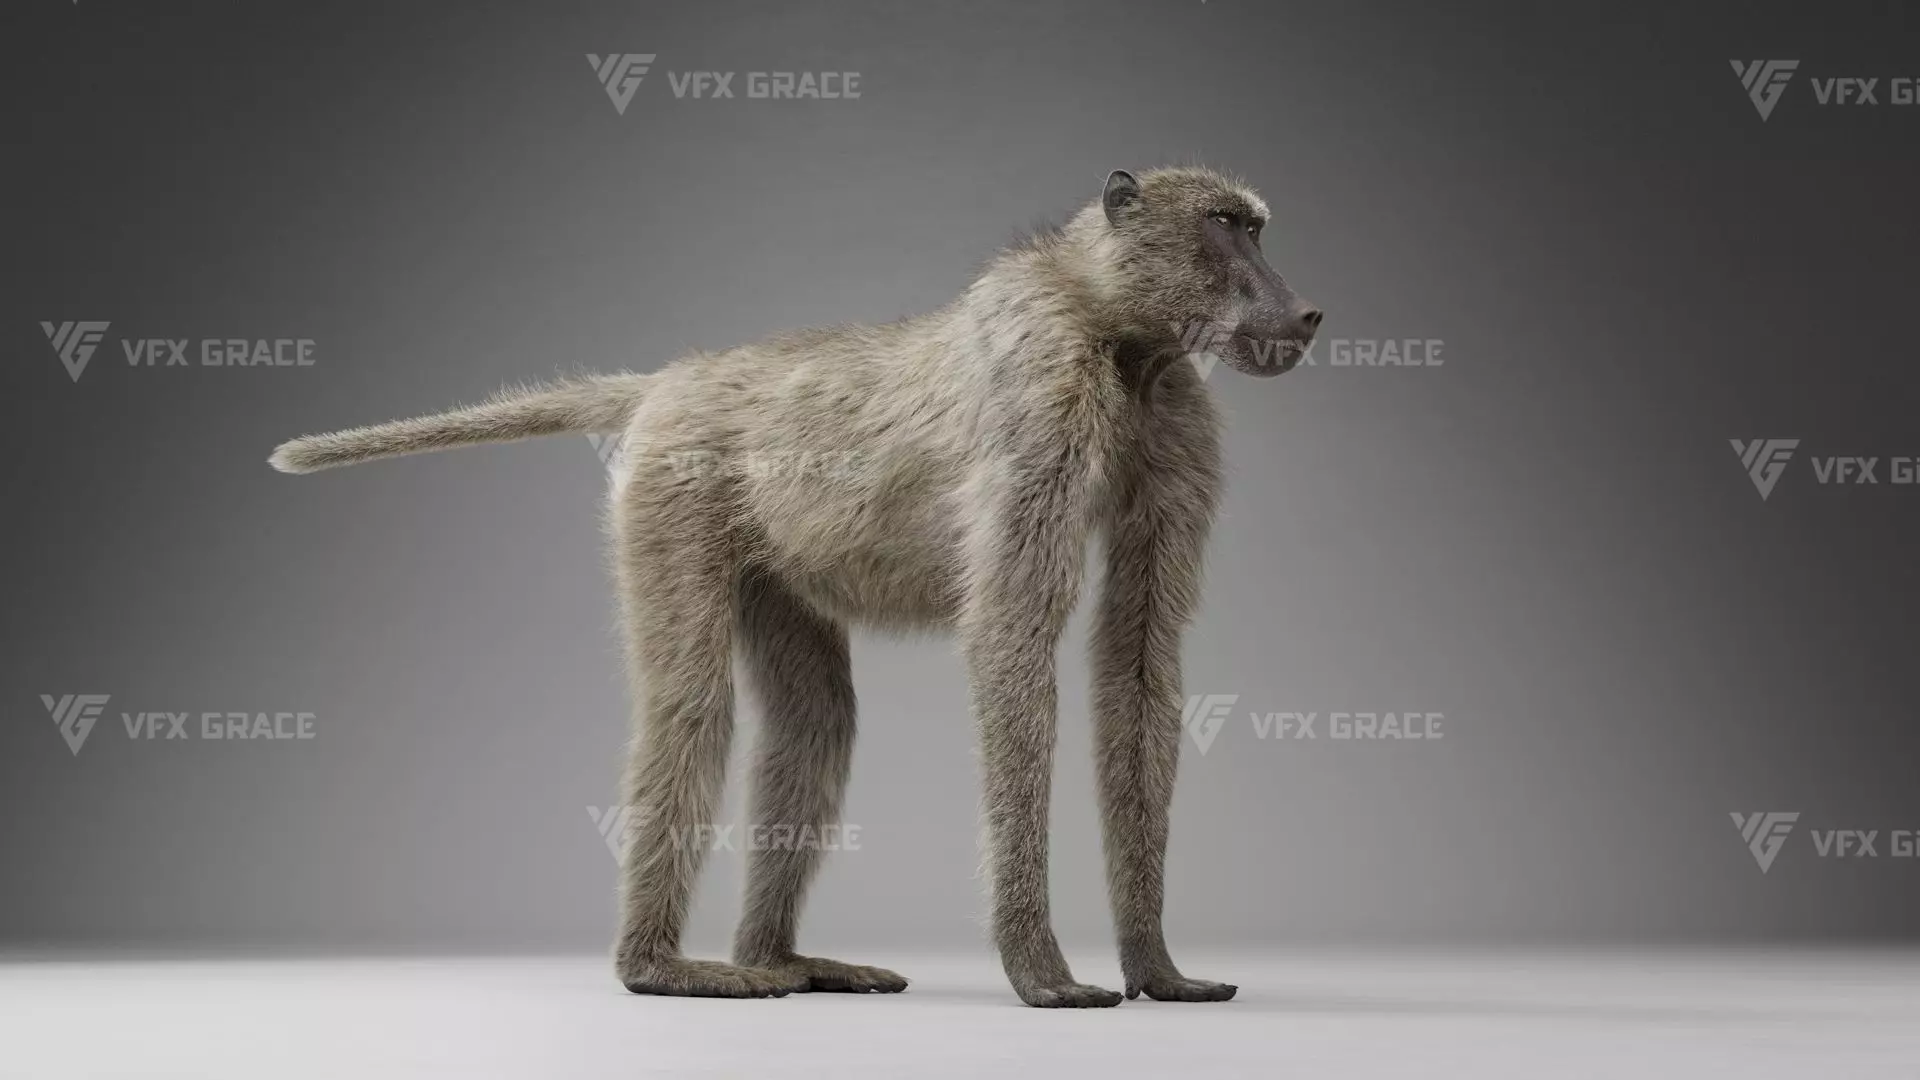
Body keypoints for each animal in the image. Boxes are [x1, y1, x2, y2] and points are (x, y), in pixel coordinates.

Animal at [270, 166, 1322, 1008]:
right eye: (1227, 225)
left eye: (1255, 226)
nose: (1304, 312)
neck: (1113, 327)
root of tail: (671, 380)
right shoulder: (1043, 399)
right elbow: (1012, 643)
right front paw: (1041, 971)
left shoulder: (1175, 418)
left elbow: (1138, 657)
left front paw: (1157, 967)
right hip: (671, 493)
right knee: (692, 705)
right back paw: (660, 968)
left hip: (771, 559)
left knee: (816, 720)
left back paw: (781, 959)